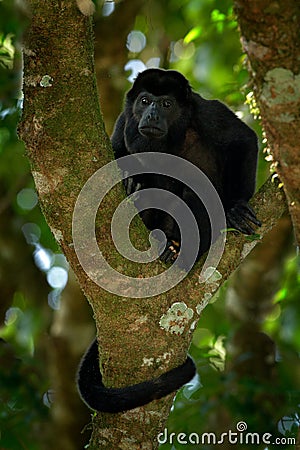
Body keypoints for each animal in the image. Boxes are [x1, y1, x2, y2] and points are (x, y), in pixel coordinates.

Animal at [77, 68, 260, 414]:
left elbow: (244, 140)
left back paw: (178, 249)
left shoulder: (207, 112)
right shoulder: (124, 121)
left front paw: (236, 206)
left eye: (166, 104)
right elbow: (114, 157)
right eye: (145, 100)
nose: (151, 113)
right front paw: (129, 181)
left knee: (193, 190)